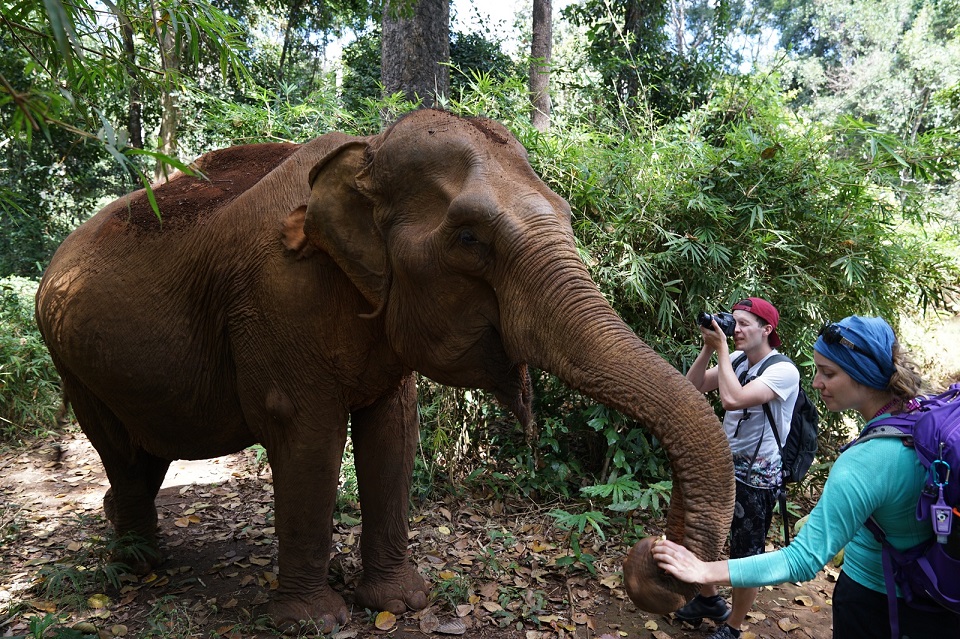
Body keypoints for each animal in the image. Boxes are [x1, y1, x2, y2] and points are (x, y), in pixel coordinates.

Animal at [33, 107, 732, 632]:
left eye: (564, 214)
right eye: (470, 239)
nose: (651, 562)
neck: (363, 156)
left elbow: (393, 432)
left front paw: (400, 602)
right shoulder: (275, 299)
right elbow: (307, 436)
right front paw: (314, 621)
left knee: (143, 458)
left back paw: (128, 542)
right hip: (72, 362)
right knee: (124, 453)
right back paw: (140, 567)